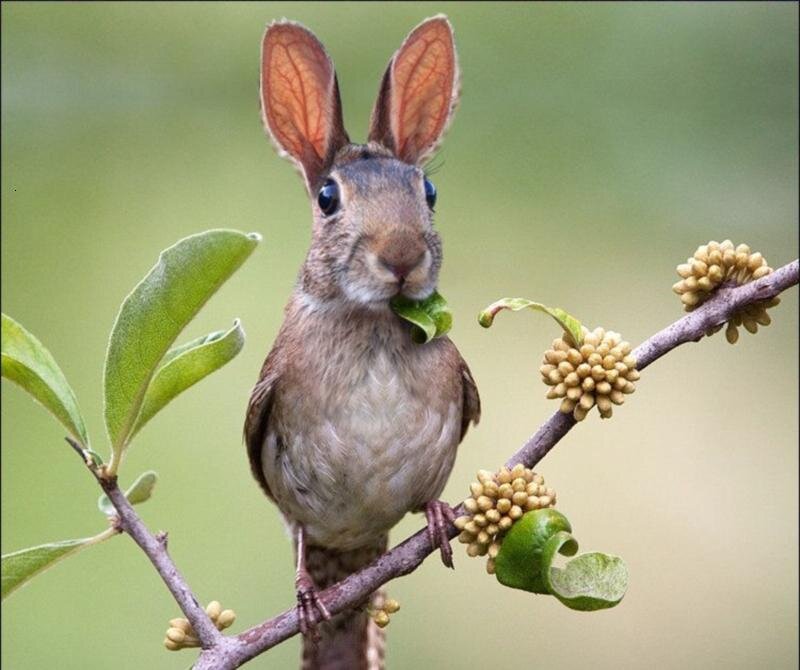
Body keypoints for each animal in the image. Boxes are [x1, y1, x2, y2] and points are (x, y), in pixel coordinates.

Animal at [245, 15, 480, 670]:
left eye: (428, 192)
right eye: (328, 198)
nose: (401, 255)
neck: (372, 324)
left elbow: (430, 495)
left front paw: (438, 515)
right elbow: (298, 532)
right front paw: (304, 593)